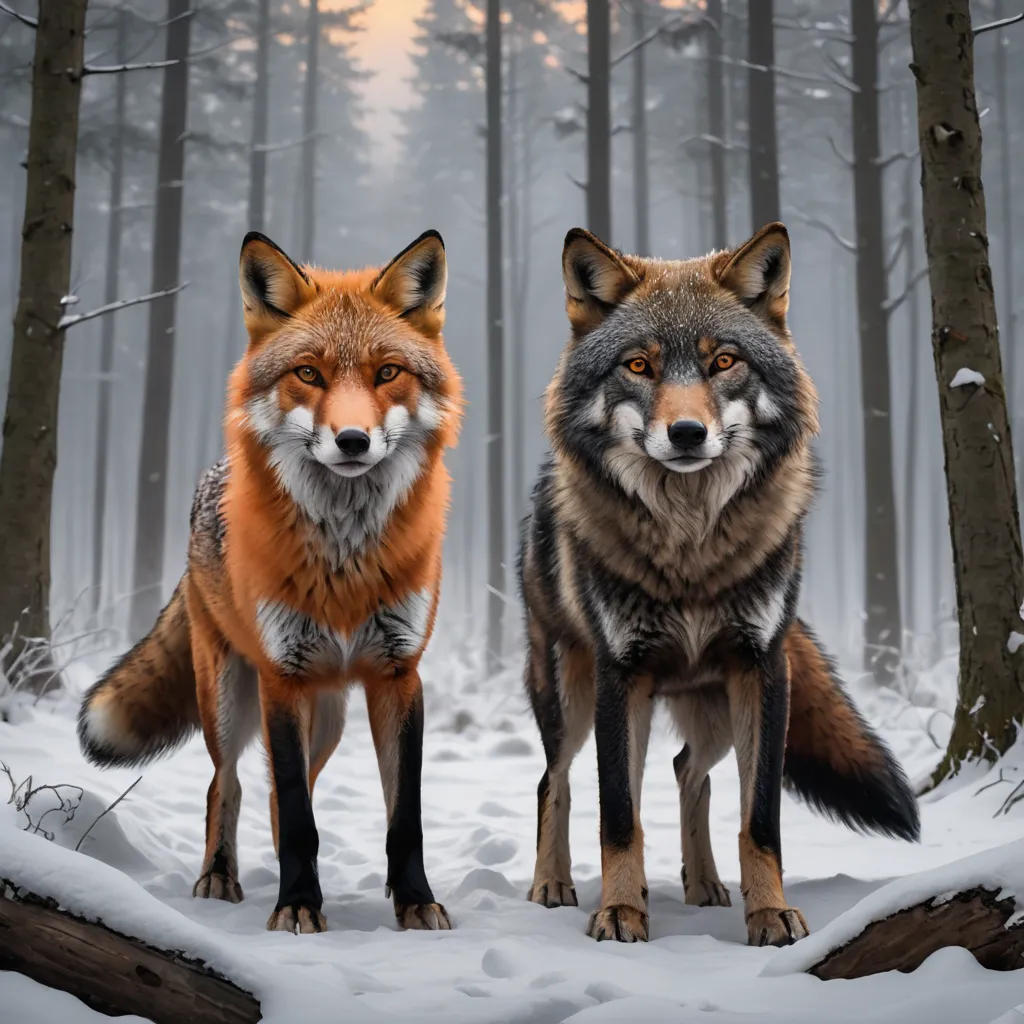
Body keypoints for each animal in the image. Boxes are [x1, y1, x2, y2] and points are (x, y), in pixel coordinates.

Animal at [79, 229, 462, 934]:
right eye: (308, 373)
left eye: (387, 372)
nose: (352, 439)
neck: (345, 562)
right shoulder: (282, 676)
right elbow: (294, 814)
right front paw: (298, 905)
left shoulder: (398, 674)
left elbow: (403, 817)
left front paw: (415, 902)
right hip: (230, 698)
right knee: (226, 783)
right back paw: (219, 877)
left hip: (328, 716)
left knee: (291, 796)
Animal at [519, 223, 919, 947]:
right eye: (639, 366)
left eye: (724, 361)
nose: (686, 433)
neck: (690, 550)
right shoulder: (622, 674)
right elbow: (617, 816)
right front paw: (619, 914)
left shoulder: (762, 668)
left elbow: (759, 819)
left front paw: (770, 916)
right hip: (576, 700)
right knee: (553, 780)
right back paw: (553, 886)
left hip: (713, 713)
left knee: (688, 772)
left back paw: (704, 886)